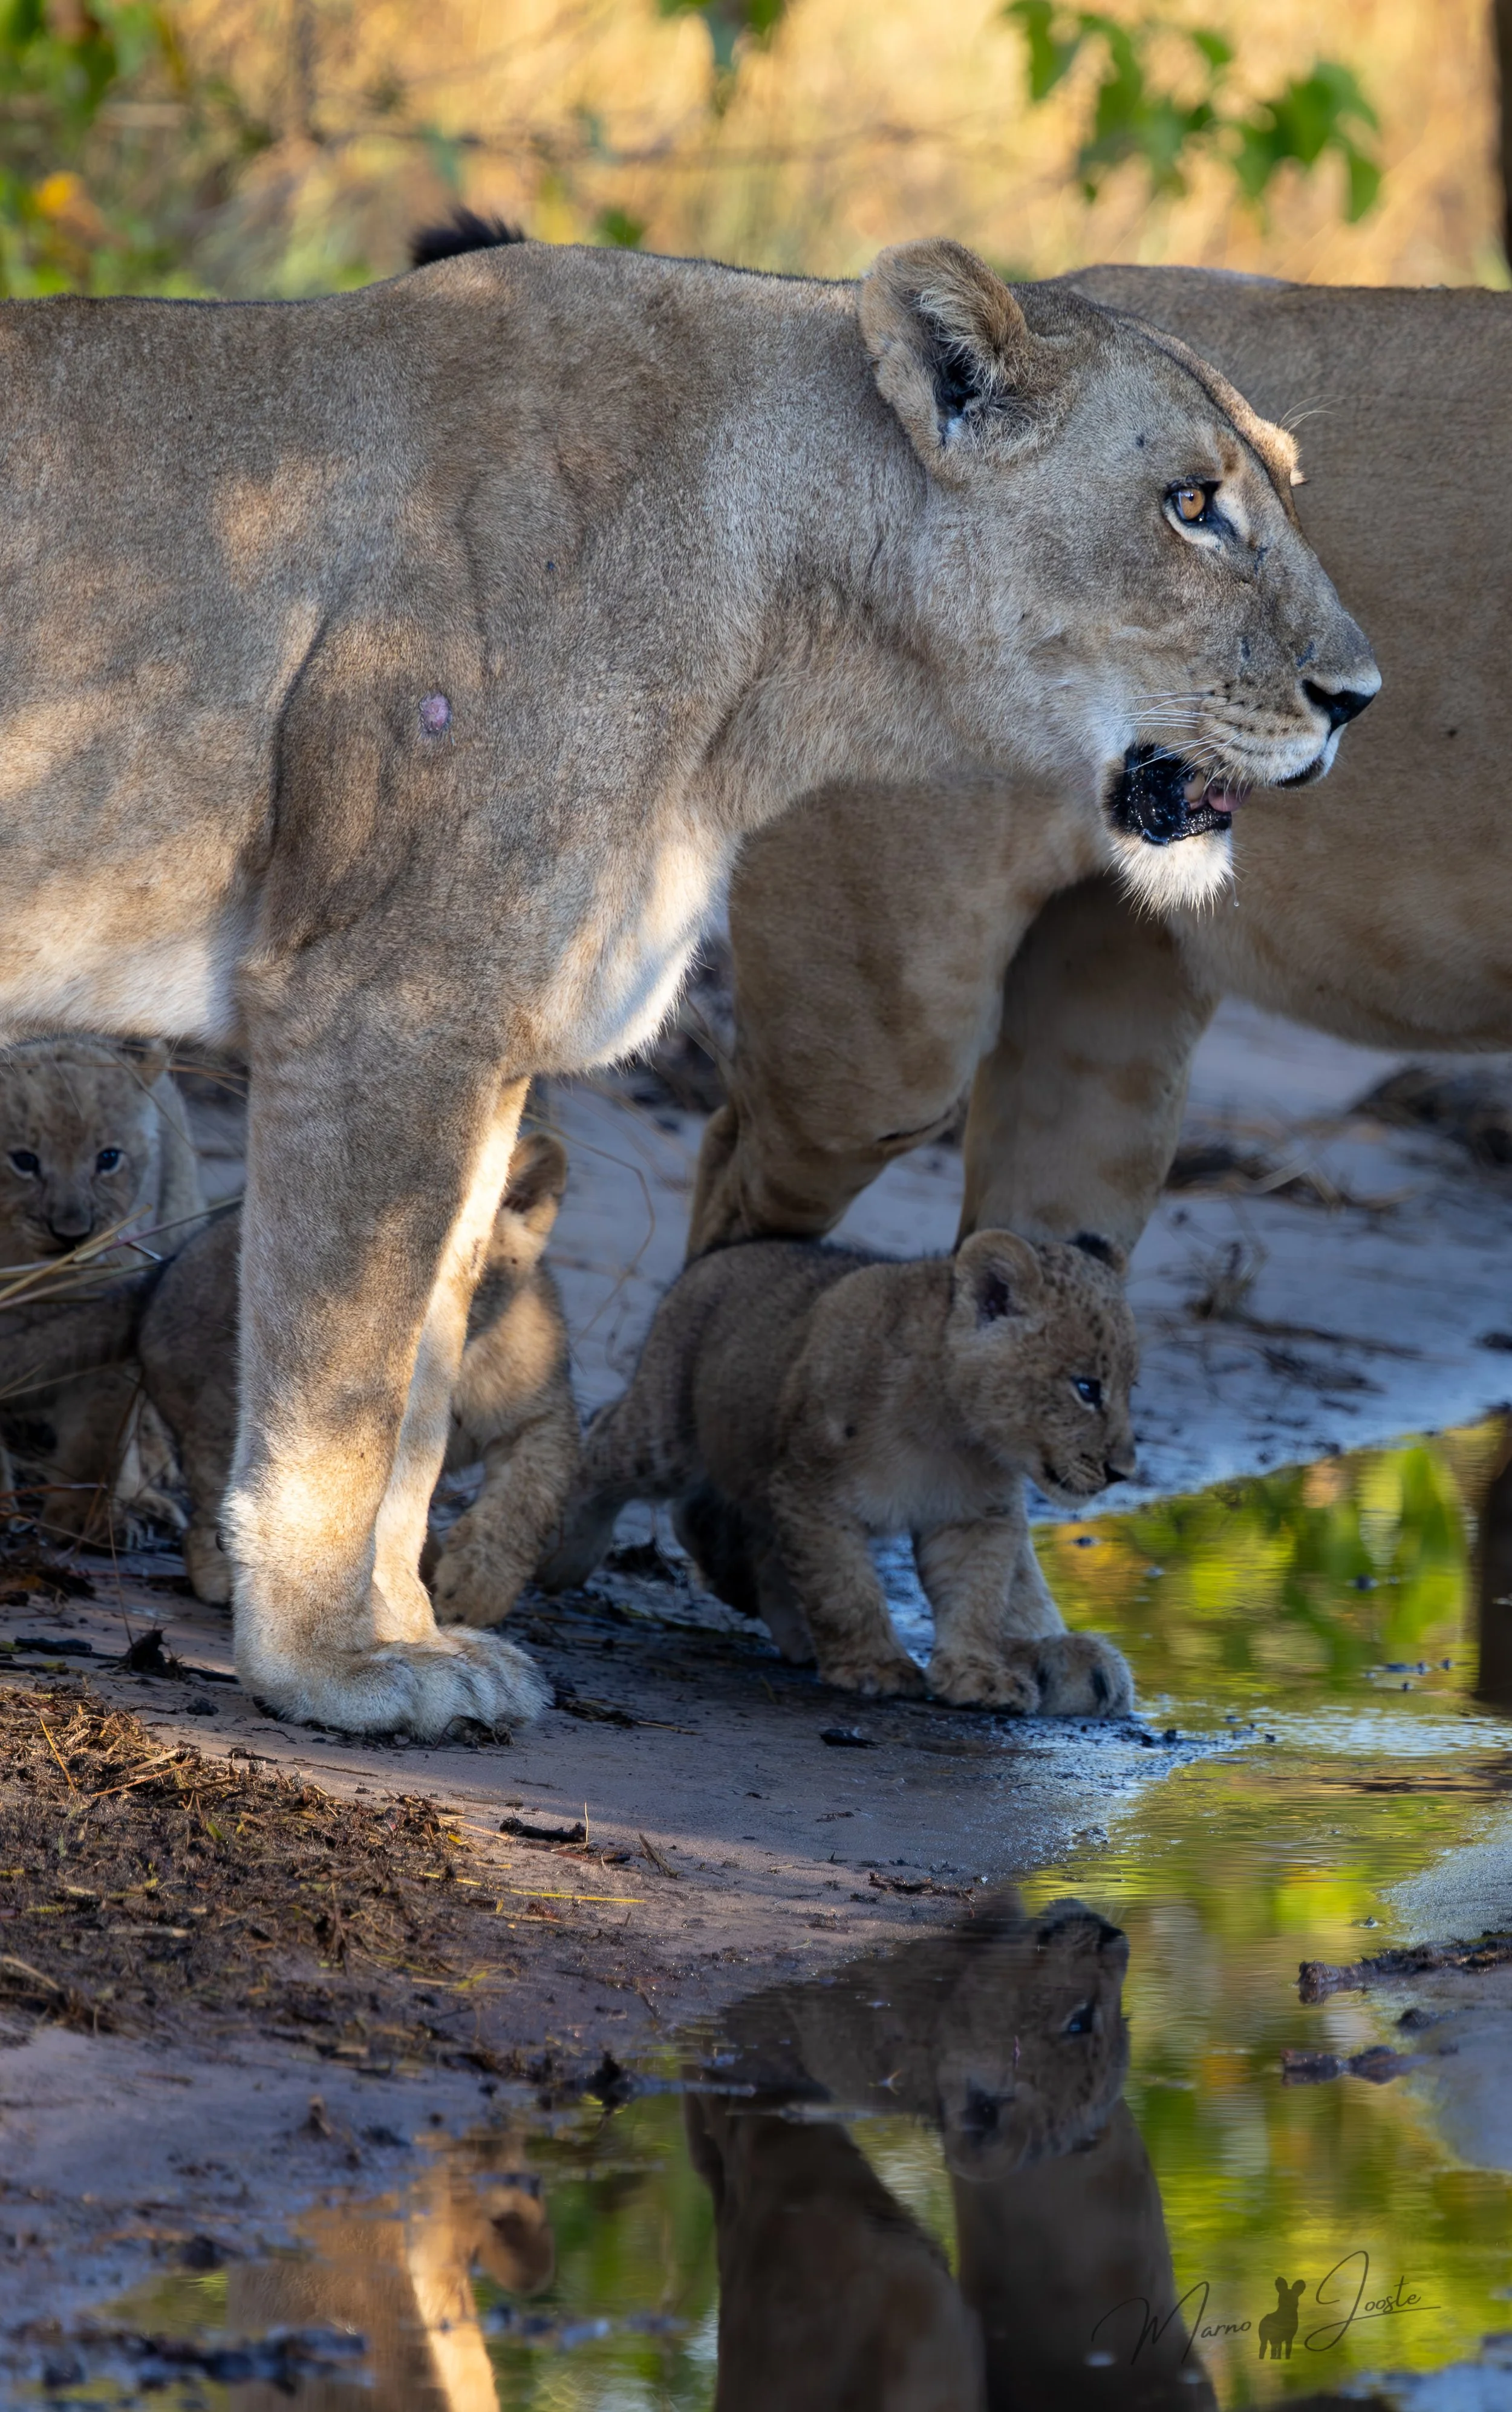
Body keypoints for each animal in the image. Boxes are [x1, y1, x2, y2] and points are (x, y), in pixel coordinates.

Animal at [0, 1036, 204, 1540]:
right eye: (24, 1161)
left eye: (108, 1159)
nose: (72, 1234)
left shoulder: (110, 1324)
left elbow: (97, 1437)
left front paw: (79, 1520)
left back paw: (148, 1498)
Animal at [541, 1228, 1137, 1711]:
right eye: (1086, 1388)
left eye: (1130, 1388)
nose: (1123, 1471)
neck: (950, 1431)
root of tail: (715, 1256)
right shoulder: (812, 1490)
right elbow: (844, 1590)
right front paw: (874, 1666)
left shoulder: (974, 1517)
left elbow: (977, 1598)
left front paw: (978, 1675)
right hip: (668, 1432)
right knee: (603, 1437)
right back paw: (565, 1556)